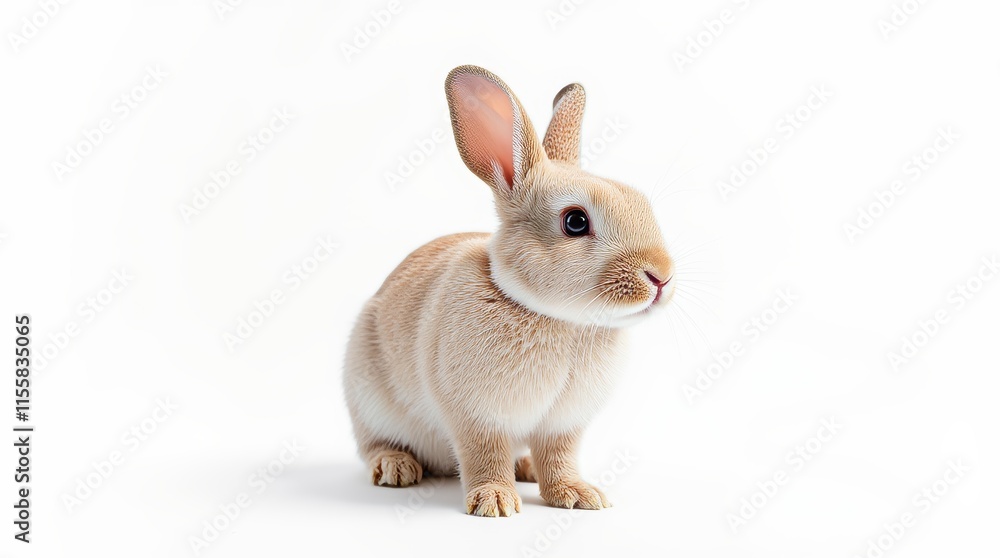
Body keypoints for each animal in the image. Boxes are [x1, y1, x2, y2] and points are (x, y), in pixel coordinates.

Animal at [343, 65, 674, 517]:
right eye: (575, 222)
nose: (662, 277)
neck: (559, 319)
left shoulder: (562, 425)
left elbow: (559, 457)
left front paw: (578, 495)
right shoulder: (477, 416)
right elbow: (484, 455)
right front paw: (495, 502)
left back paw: (526, 468)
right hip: (367, 400)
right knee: (374, 445)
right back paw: (396, 467)